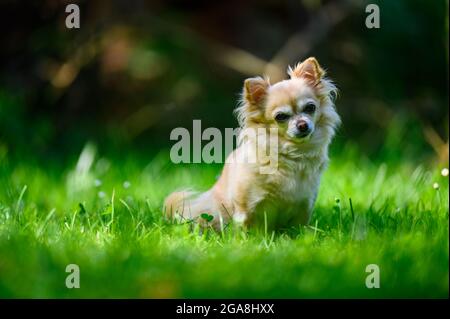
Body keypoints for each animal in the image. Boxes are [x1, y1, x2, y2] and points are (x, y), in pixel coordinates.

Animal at [165, 57, 342, 231]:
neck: (292, 155)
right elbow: (249, 229)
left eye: (310, 108)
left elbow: (299, 228)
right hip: (212, 210)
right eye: (281, 117)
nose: (303, 125)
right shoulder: (247, 208)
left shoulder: (305, 205)